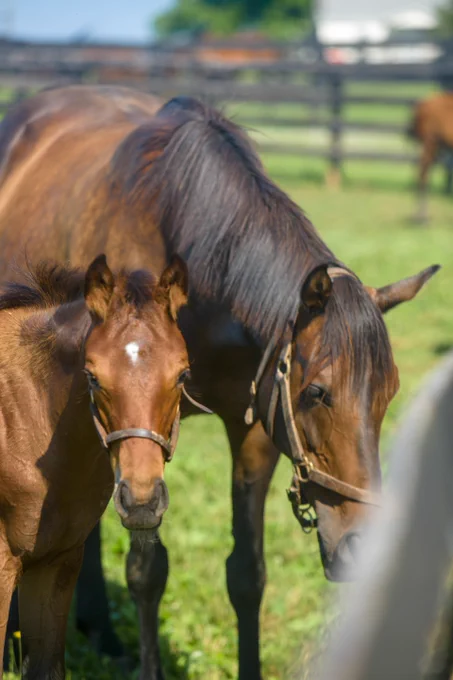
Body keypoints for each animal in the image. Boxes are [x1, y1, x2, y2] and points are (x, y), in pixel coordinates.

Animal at [408, 91, 453, 222]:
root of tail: (420, 105)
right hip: (430, 144)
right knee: (423, 175)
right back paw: (422, 218)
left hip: (433, 148)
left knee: (423, 174)